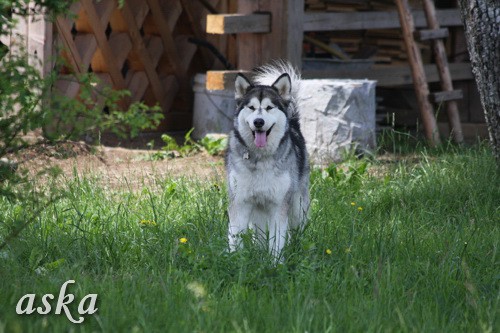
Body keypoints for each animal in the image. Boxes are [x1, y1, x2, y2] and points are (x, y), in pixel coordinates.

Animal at [226, 61, 308, 256]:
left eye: (270, 108)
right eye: (251, 107)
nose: (259, 122)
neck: (260, 158)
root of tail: (293, 123)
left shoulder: (279, 206)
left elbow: (277, 241)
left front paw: (275, 261)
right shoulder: (240, 203)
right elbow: (235, 237)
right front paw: (234, 260)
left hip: (297, 206)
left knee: (297, 228)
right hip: (258, 209)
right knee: (260, 233)